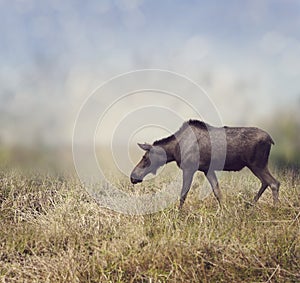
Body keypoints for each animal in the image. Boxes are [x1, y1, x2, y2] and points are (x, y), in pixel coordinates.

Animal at [130, 120, 280, 209]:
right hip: (257, 165)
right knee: (266, 182)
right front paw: (224, 211)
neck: (174, 150)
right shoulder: (207, 169)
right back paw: (251, 205)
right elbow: (218, 192)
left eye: (145, 157)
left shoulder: (189, 168)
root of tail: (271, 140)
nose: (133, 176)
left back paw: (274, 208)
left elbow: (183, 194)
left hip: (257, 164)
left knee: (274, 183)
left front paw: (178, 215)